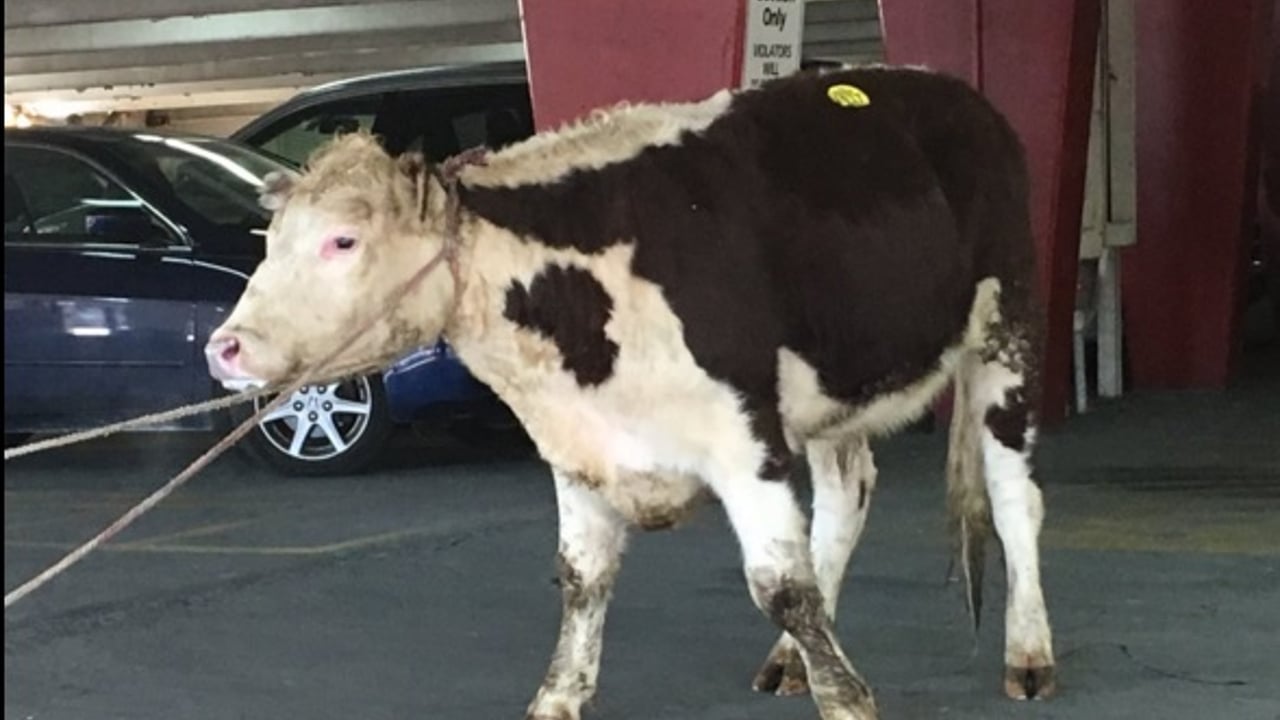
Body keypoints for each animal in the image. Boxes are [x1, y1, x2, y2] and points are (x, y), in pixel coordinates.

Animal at [206, 65, 1056, 720]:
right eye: (270, 241)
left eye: (343, 240)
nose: (226, 347)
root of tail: (953, 90)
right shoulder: (577, 446)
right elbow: (583, 580)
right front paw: (557, 698)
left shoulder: (747, 440)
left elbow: (783, 586)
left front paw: (846, 698)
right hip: (836, 382)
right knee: (849, 494)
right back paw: (790, 661)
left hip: (1006, 330)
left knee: (1014, 496)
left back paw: (1029, 653)